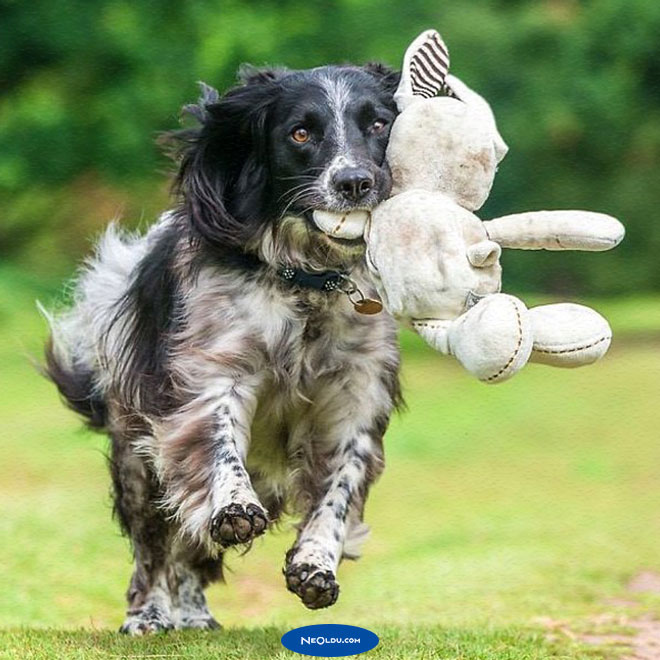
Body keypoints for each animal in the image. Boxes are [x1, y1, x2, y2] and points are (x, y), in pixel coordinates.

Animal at [45, 63, 402, 636]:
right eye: (300, 133)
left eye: (378, 123)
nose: (354, 183)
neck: (308, 283)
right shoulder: (212, 372)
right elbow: (218, 445)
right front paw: (233, 507)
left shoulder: (356, 396)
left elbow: (337, 492)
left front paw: (315, 565)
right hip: (136, 459)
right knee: (155, 546)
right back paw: (150, 614)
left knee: (190, 552)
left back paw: (193, 613)